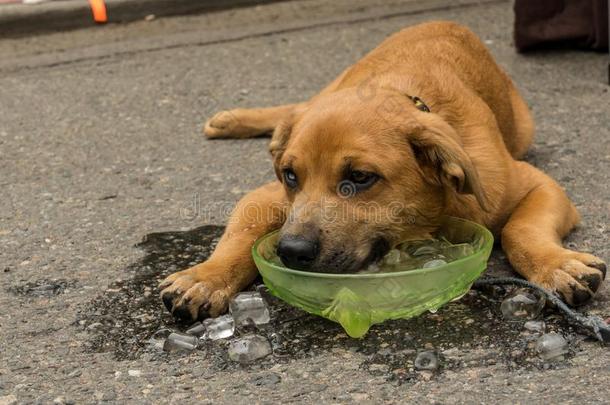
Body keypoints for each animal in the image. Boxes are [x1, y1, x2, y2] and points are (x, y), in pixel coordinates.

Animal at [160, 22, 604, 320]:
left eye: (360, 178)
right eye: (290, 176)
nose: (291, 252)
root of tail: (445, 22)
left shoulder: (536, 186)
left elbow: (520, 229)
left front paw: (555, 265)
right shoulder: (264, 196)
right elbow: (238, 237)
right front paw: (205, 276)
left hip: (524, 128)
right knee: (295, 108)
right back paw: (231, 120)